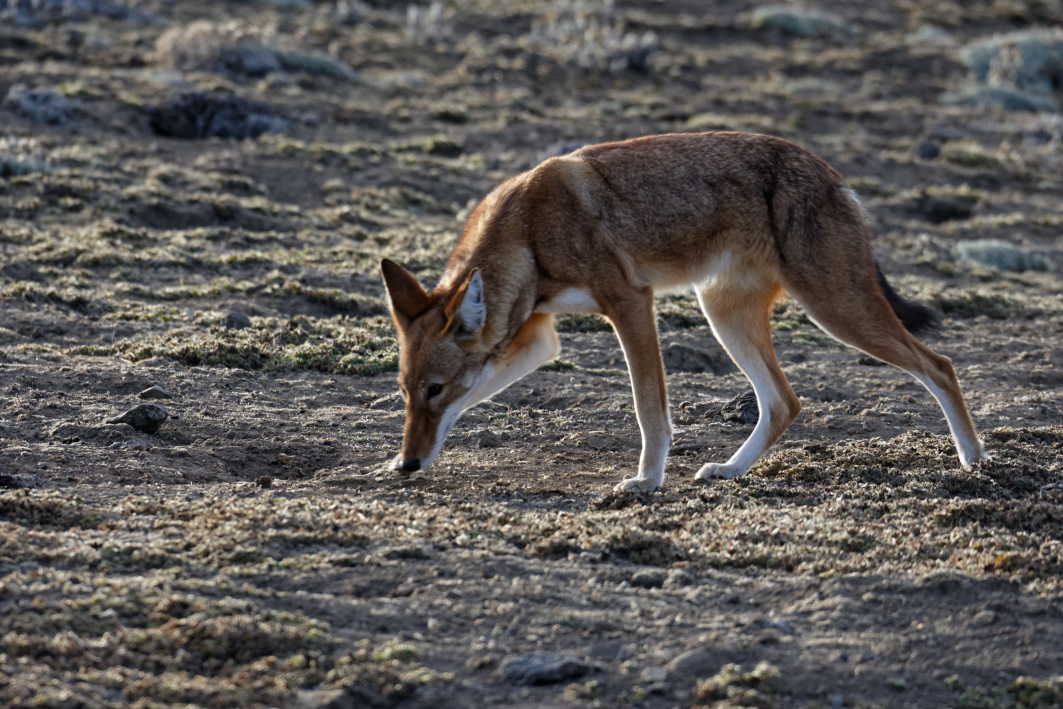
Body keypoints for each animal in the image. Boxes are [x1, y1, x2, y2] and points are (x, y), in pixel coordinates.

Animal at [380, 132, 987, 491]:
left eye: (434, 389)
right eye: (408, 392)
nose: (408, 465)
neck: (528, 230)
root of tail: (834, 174)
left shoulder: (630, 303)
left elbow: (649, 408)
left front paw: (647, 481)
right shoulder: (538, 336)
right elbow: (478, 396)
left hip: (836, 311)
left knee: (940, 366)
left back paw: (975, 461)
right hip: (724, 314)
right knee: (784, 403)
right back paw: (730, 470)